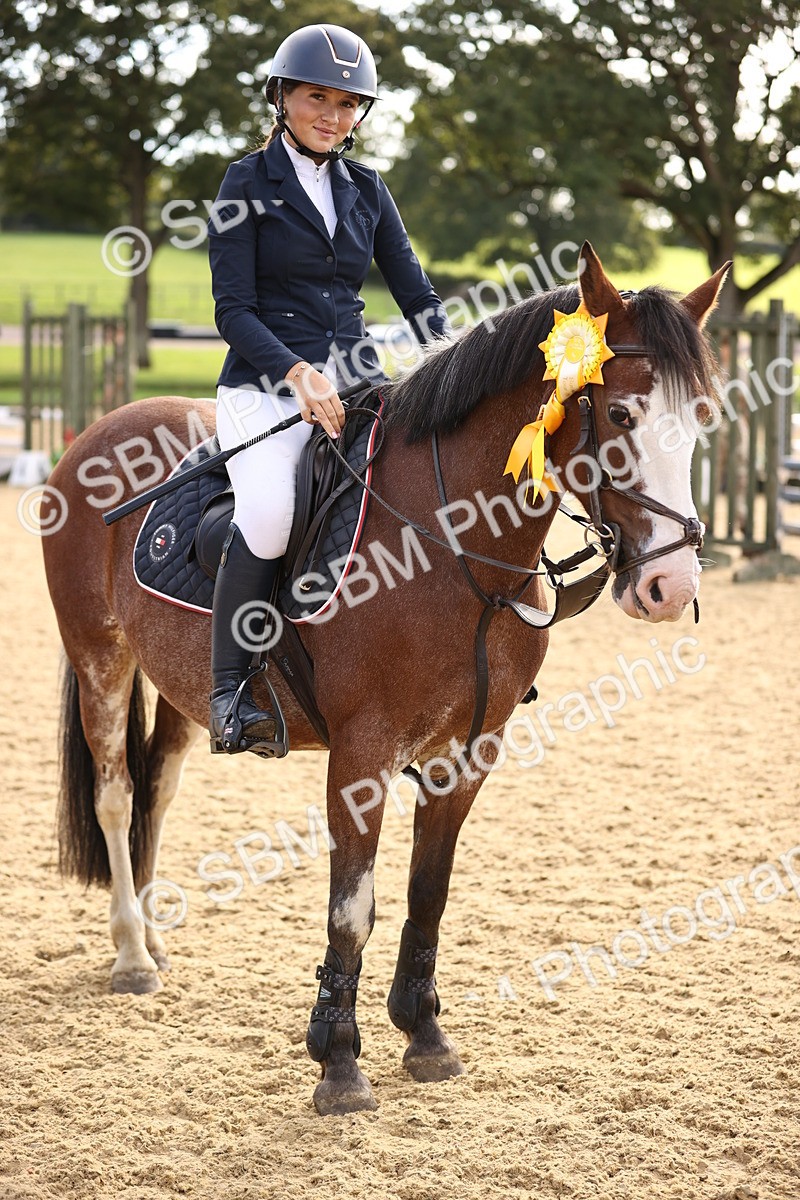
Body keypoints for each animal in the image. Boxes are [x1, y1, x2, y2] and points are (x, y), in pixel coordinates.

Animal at [42, 244, 728, 1116]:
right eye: (621, 418)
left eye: (699, 418)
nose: (670, 586)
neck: (454, 544)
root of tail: (100, 429)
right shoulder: (361, 755)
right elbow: (351, 909)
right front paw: (338, 1063)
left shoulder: (468, 750)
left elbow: (428, 892)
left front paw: (424, 1034)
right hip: (100, 654)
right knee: (114, 793)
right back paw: (131, 954)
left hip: (177, 687)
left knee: (155, 787)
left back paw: (156, 939)